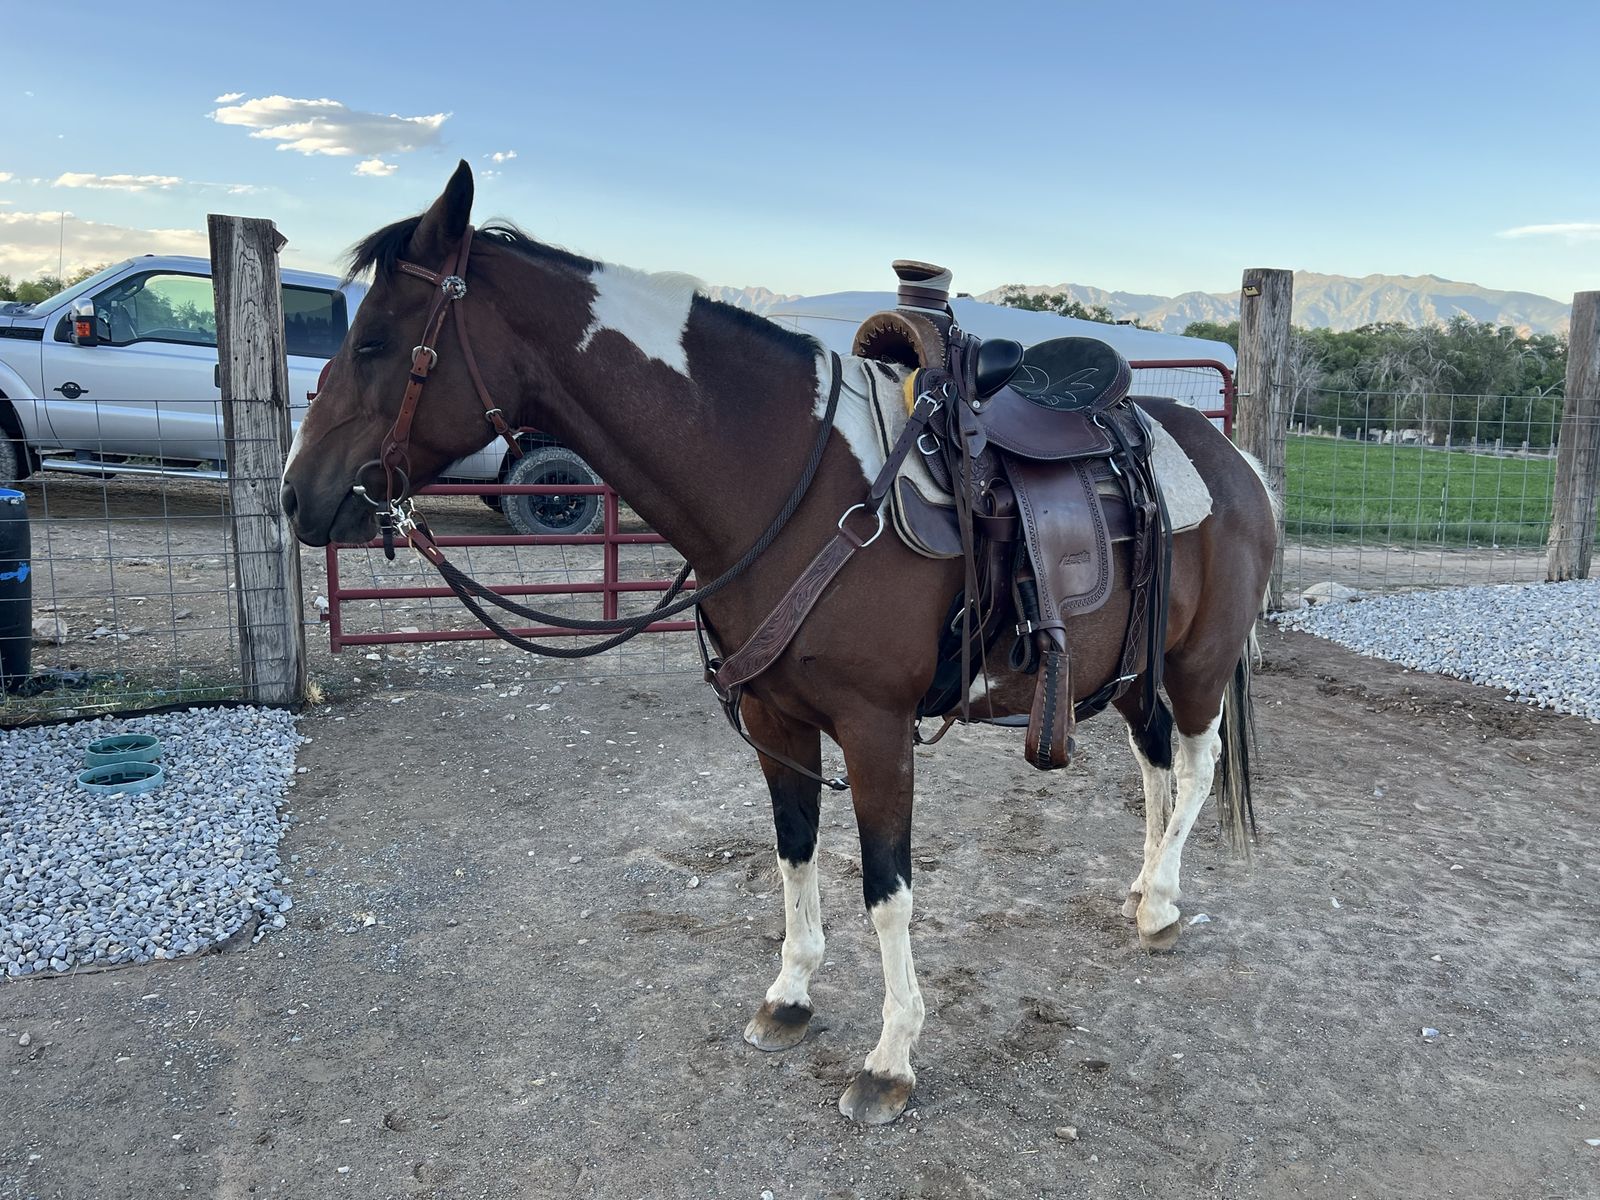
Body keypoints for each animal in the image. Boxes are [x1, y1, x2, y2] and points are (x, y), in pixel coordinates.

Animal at [281, 162, 1277, 1125]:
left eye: (374, 342)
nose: (296, 495)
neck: (792, 480)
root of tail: (1236, 461)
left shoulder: (876, 731)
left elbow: (887, 891)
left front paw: (890, 1060)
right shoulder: (776, 722)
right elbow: (793, 854)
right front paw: (791, 998)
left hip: (1196, 664)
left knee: (1193, 769)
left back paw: (1159, 902)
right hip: (1132, 668)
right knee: (1156, 767)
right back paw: (1148, 894)